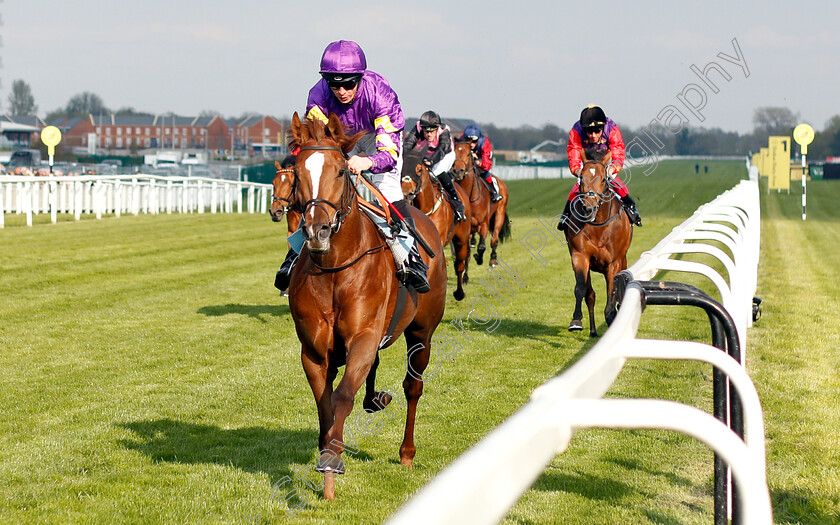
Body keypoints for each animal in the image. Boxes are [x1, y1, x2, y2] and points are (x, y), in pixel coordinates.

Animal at [288, 111, 450, 500]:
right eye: (297, 173)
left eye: (340, 171)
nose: (317, 231)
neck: (335, 268)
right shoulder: (313, 350)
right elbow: (325, 404)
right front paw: (328, 457)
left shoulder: (363, 336)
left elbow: (342, 397)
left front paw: (332, 462)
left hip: (422, 332)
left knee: (413, 387)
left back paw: (407, 453)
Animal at [400, 149, 472, 300]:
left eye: (419, 169)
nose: (406, 194)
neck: (426, 207)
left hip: (462, 238)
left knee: (459, 264)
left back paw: (459, 292)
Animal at [452, 139, 512, 272]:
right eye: (453, 153)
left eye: (468, 154)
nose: (457, 171)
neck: (469, 196)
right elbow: (466, 251)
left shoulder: (484, 223)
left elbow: (482, 246)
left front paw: (479, 258)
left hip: (499, 214)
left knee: (494, 239)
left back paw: (493, 259)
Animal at [560, 147, 632, 336]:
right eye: (581, 179)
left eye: (602, 178)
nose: (588, 208)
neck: (598, 225)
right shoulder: (580, 255)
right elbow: (582, 289)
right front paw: (576, 320)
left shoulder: (613, 262)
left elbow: (612, 294)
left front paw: (611, 317)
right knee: (590, 294)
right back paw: (592, 330)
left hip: (623, 260)